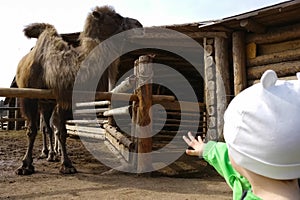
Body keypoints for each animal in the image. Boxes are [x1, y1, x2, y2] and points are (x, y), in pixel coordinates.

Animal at [15, 5, 143, 175]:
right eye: (116, 16)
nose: (139, 24)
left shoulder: (63, 100)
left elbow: (62, 132)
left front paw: (67, 164)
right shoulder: (29, 97)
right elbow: (32, 130)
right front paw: (25, 165)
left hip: (48, 103)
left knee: (49, 127)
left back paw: (51, 154)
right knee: (43, 128)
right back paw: (46, 154)